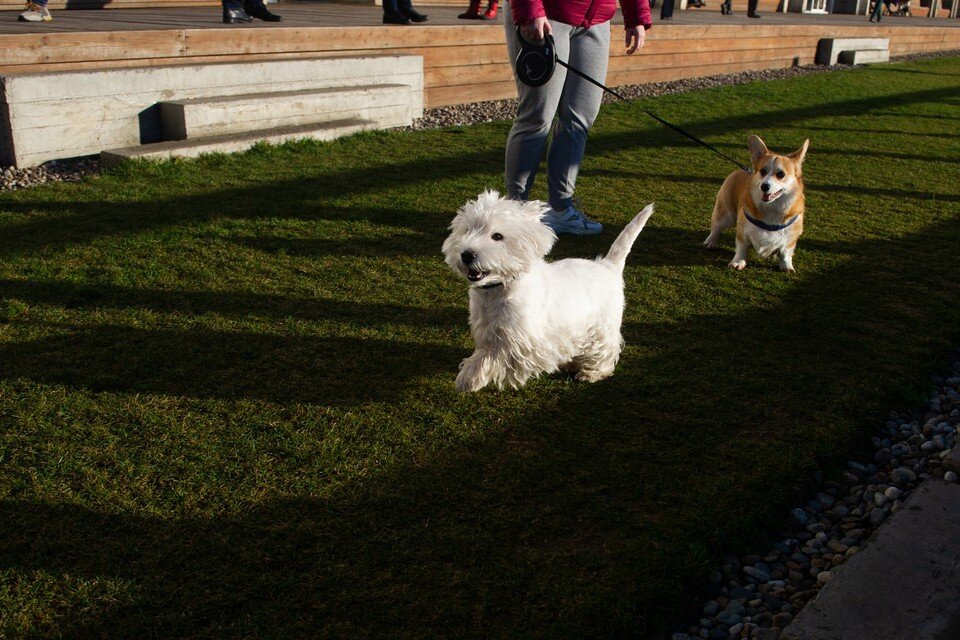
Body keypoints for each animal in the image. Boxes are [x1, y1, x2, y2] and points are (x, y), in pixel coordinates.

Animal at [440, 190, 652, 390]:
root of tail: (608, 265)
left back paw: (592, 373)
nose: (466, 254)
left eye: (497, 236)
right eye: (467, 230)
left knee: (606, 348)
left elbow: (494, 356)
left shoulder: (522, 339)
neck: (499, 289)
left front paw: (468, 379)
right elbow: (485, 351)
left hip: (603, 325)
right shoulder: (486, 328)